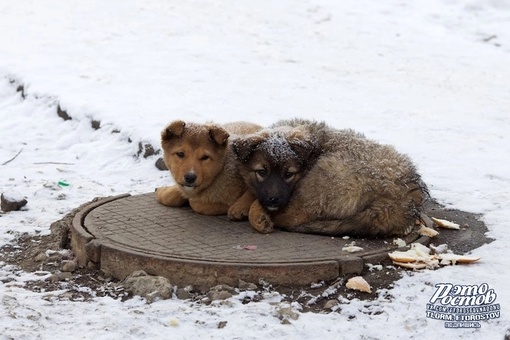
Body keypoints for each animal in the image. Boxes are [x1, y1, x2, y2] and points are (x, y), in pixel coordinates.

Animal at [233, 119, 428, 236]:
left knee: (293, 215)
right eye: (262, 172)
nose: (273, 199)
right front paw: (240, 205)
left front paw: (254, 211)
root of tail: (403, 200)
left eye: (288, 174)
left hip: (323, 174)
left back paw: (262, 217)